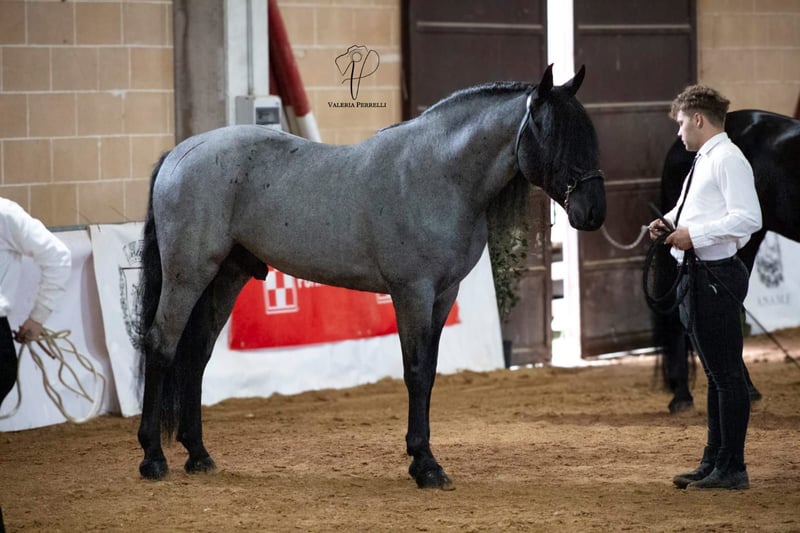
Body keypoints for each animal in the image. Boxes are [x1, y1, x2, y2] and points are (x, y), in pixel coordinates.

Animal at [136, 64, 606, 490]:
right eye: (556, 136)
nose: (593, 213)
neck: (437, 175)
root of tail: (177, 155)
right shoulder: (412, 292)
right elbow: (415, 371)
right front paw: (426, 465)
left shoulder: (443, 294)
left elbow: (430, 371)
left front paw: (423, 459)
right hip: (187, 275)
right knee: (161, 346)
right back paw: (153, 458)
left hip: (226, 276)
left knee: (196, 355)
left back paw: (198, 454)